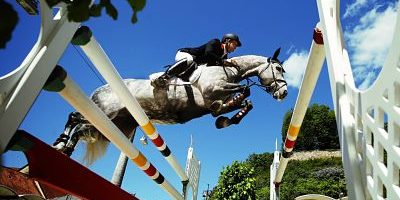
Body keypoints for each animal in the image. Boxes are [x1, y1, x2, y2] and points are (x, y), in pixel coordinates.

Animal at [54, 47, 290, 163]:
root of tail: (100, 88)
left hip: (114, 126)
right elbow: (245, 92)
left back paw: (62, 145)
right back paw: (62, 145)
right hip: (106, 113)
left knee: (79, 124)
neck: (228, 69)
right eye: (278, 69)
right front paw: (225, 116)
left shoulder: (216, 98)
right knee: (76, 120)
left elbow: (243, 102)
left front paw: (225, 120)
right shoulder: (213, 90)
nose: (284, 93)